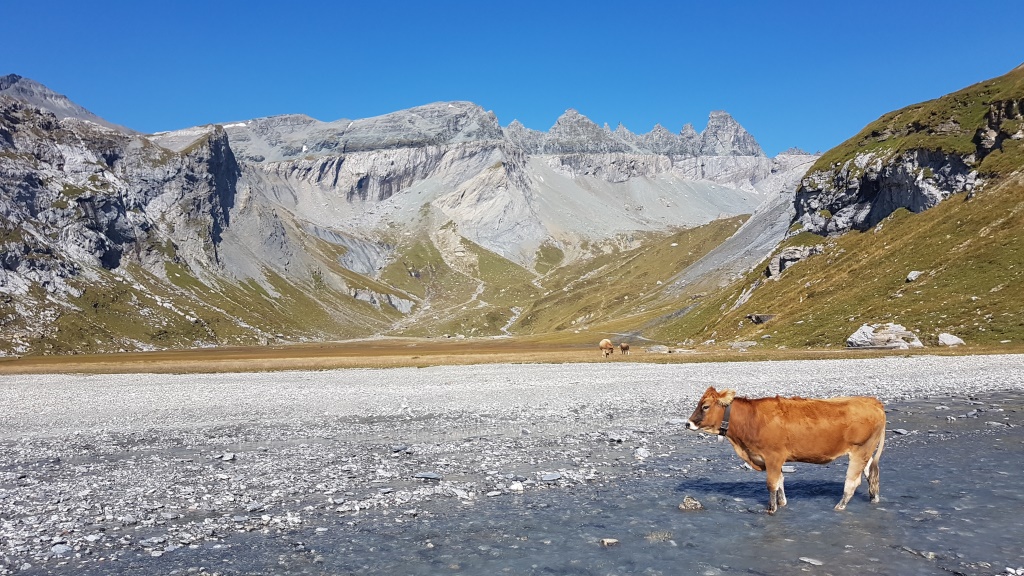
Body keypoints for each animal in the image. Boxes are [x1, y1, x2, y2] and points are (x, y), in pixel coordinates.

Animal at [685, 387, 885, 514]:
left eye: (705, 406)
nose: (688, 423)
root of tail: (873, 402)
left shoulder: (773, 456)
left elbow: (772, 484)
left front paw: (772, 508)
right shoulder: (774, 459)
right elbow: (780, 481)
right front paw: (782, 503)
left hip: (860, 450)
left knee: (852, 482)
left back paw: (840, 506)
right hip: (867, 452)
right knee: (871, 474)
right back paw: (874, 499)